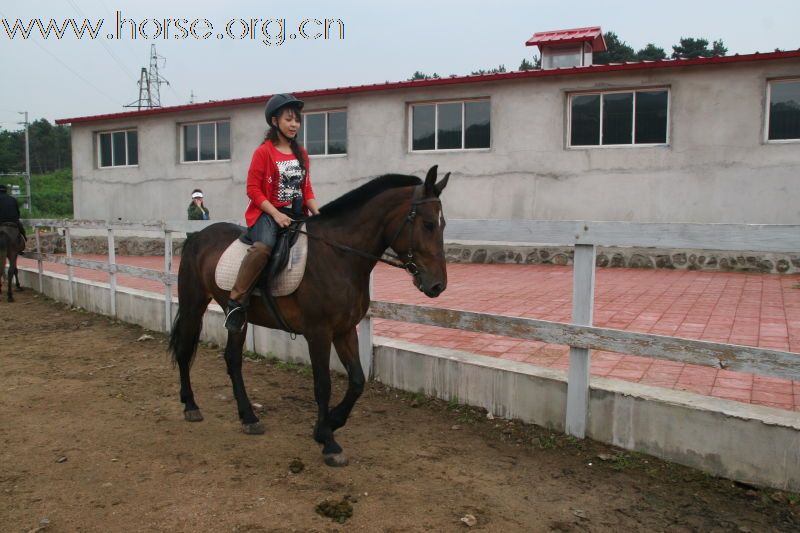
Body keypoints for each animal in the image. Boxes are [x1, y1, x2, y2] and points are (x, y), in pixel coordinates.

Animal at [167, 166, 450, 466]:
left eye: (442, 224)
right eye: (428, 224)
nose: (438, 286)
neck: (337, 255)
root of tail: (197, 236)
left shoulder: (345, 330)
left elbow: (357, 381)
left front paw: (333, 422)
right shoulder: (318, 333)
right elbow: (323, 384)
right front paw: (328, 441)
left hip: (238, 319)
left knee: (233, 359)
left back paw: (249, 417)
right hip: (193, 304)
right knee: (185, 350)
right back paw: (191, 405)